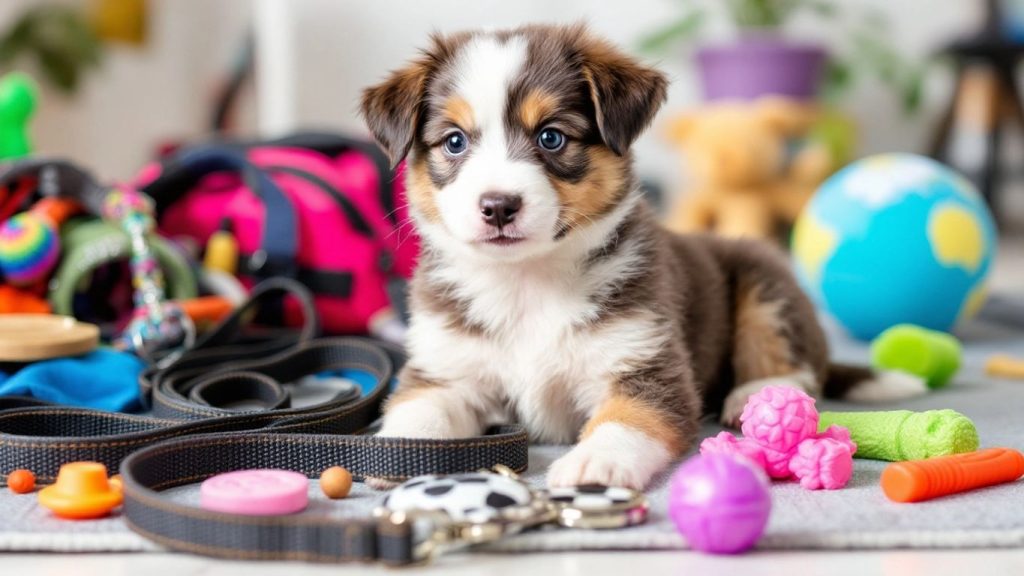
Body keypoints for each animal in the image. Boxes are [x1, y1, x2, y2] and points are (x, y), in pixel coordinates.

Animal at [362, 23, 929, 487]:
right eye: (454, 142)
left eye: (551, 137)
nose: (498, 206)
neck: (527, 281)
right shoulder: (444, 371)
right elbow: (417, 414)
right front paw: (398, 453)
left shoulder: (646, 363)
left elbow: (628, 420)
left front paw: (596, 462)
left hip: (766, 276)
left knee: (794, 361)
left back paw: (756, 395)